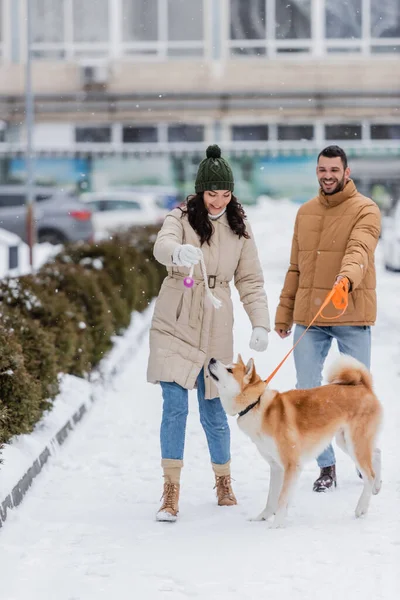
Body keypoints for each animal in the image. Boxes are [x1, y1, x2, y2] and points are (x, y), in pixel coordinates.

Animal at [208, 354, 382, 528]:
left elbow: (281, 499)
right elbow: (271, 499)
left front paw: (276, 525)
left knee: (369, 475)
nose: (211, 359)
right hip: (345, 441)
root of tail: (363, 386)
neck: (256, 405)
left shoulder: (291, 466)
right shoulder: (276, 467)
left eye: (229, 370)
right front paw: (262, 517)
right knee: (377, 453)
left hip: (355, 444)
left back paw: (361, 508)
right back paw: (377, 486)